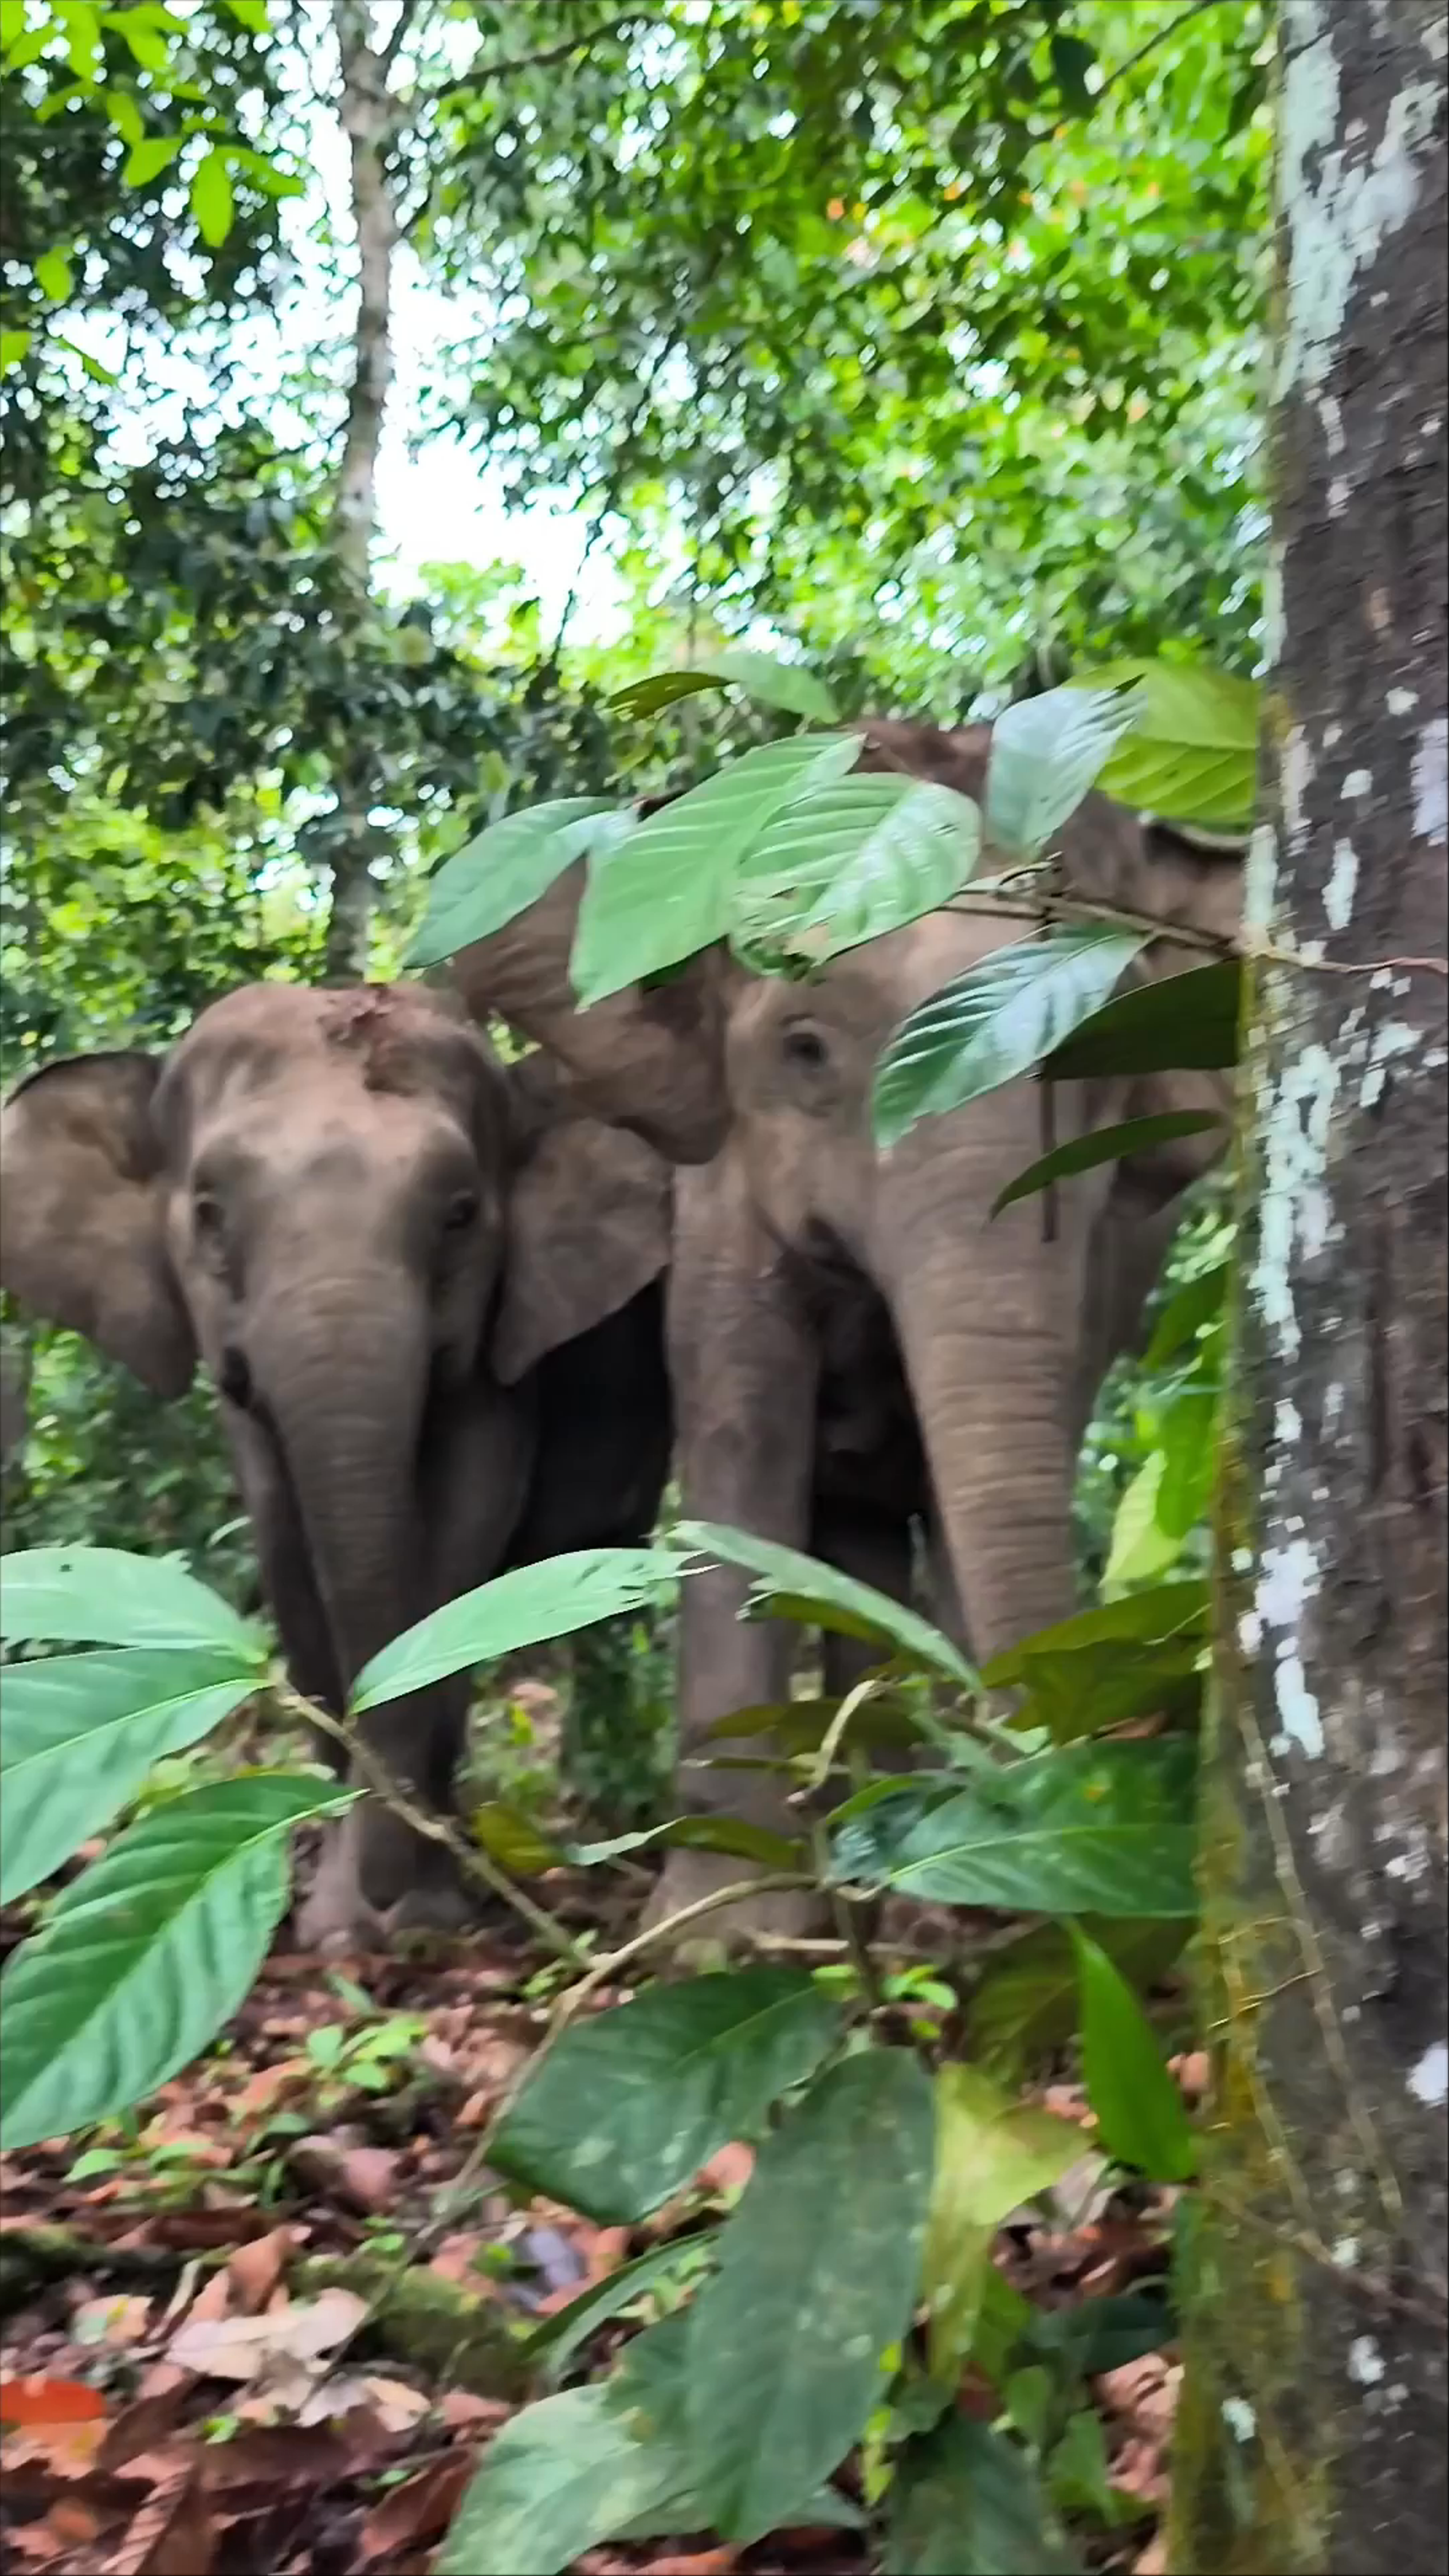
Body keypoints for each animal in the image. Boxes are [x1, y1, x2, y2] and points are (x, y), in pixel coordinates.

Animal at [0, 980, 673, 1946]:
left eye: (460, 1214)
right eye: (209, 1213)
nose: (388, 1914)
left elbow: (461, 1541)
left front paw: (422, 1913)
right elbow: (286, 1541)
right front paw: (335, 1915)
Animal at [443, 718, 1243, 1935]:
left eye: (1109, 1060)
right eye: (804, 1049)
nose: (1034, 1795)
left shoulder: (1106, 1253)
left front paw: (961, 1896)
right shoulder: (720, 1199)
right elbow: (744, 1447)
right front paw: (722, 1932)